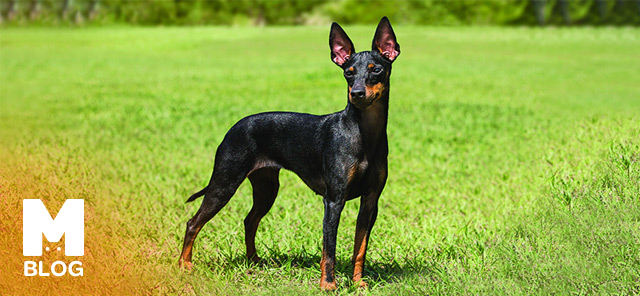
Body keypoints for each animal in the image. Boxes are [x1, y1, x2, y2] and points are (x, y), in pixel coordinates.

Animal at [179, 17, 400, 290]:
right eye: (348, 72)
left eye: (376, 69)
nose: (356, 93)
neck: (363, 133)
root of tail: (233, 128)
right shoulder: (333, 200)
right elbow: (329, 249)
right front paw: (328, 285)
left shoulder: (370, 201)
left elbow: (360, 248)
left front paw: (358, 283)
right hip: (224, 183)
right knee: (193, 223)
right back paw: (184, 265)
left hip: (266, 188)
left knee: (250, 220)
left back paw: (253, 261)